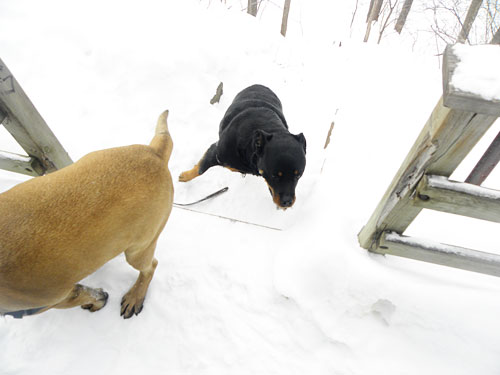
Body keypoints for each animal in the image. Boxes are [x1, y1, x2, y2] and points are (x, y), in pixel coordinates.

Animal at [0, 110, 174, 318]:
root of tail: (155, 153)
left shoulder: (54, 300)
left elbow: (86, 294)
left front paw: (98, 301)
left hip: (139, 249)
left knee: (150, 268)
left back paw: (135, 296)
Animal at [178, 84, 306, 210]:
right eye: (274, 175)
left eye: (298, 176)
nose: (287, 202)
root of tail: (259, 84)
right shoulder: (217, 152)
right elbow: (201, 169)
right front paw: (184, 176)